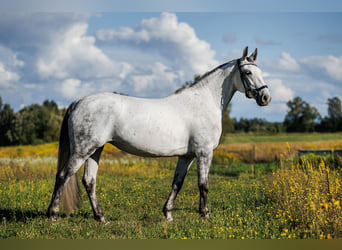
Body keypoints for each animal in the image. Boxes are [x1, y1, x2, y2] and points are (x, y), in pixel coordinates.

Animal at [48, 46, 272, 223]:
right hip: (83, 150)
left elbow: (177, 183)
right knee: (63, 176)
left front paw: (168, 215)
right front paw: (206, 215)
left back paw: (101, 218)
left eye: (260, 71)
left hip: (96, 150)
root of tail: (79, 101)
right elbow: (203, 184)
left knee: (89, 181)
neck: (203, 102)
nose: (266, 97)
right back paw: (53, 215)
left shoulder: (187, 156)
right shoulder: (204, 152)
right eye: (248, 72)